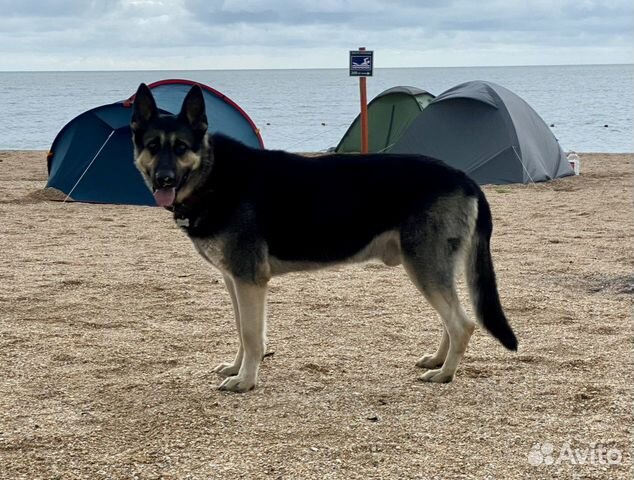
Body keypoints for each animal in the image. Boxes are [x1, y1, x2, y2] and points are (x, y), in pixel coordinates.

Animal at [131, 83, 516, 394]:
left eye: (182, 147)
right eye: (152, 146)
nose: (164, 180)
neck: (212, 174)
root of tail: (465, 178)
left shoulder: (249, 281)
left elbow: (252, 335)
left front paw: (247, 380)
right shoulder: (234, 281)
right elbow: (242, 330)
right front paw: (237, 368)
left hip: (425, 267)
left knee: (462, 324)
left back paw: (445, 374)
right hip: (430, 269)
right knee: (450, 321)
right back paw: (438, 361)